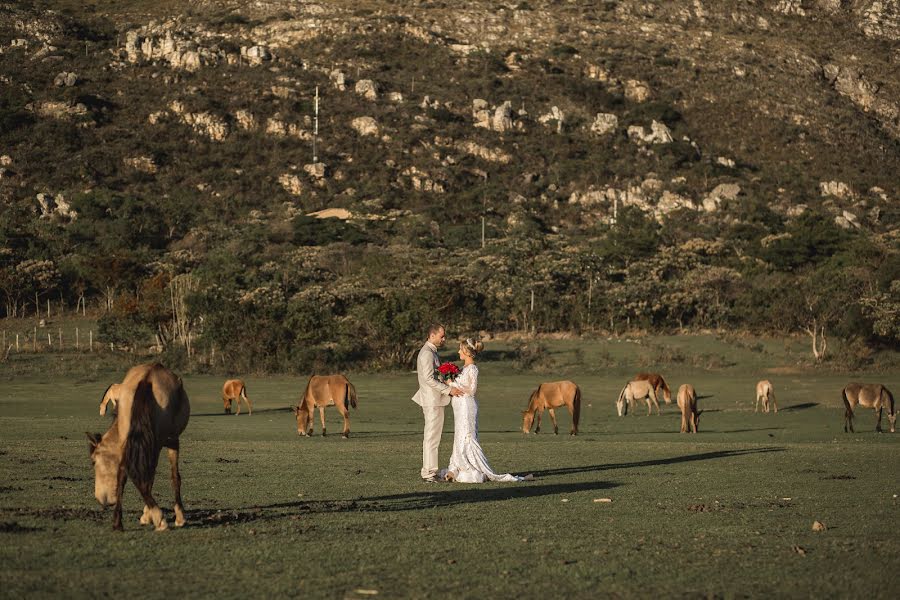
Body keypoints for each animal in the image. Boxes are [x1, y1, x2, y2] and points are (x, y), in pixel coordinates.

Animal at [86, 364, 190, 532]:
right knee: (147, 474)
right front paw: (178, 517)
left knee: (124, 472)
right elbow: (174, 477)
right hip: (156, 443)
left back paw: (118, 523)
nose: (101, 500)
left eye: (93, 461)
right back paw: (158, 518)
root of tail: (146, 379)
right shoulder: (173, 441)